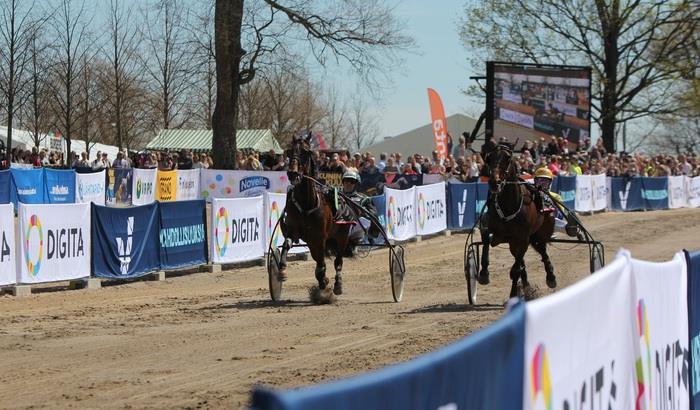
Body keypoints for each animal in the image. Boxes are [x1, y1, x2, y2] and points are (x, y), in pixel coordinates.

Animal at [278, 138, 352, 294]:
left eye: (306, 152)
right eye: (289, 151)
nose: (293, 173)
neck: (306, 204)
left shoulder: (319, 237)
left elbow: (321, 262)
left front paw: (324, 280)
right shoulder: (294, 230)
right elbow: (286, 244)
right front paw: (282, 270)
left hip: (342, 236)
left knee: (338, 260)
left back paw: (337, 284)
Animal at [482, 146, 556, 300]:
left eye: (508, 158)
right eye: (489, 158)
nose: (494, 182)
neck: (509, 205)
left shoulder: (523, 239)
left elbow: (516, 270)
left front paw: (513, 295)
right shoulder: (495, 231)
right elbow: (486, 238)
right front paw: (483, 273)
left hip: (540, 233)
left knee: (543, 251)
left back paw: (551, 277)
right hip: (516, 241)